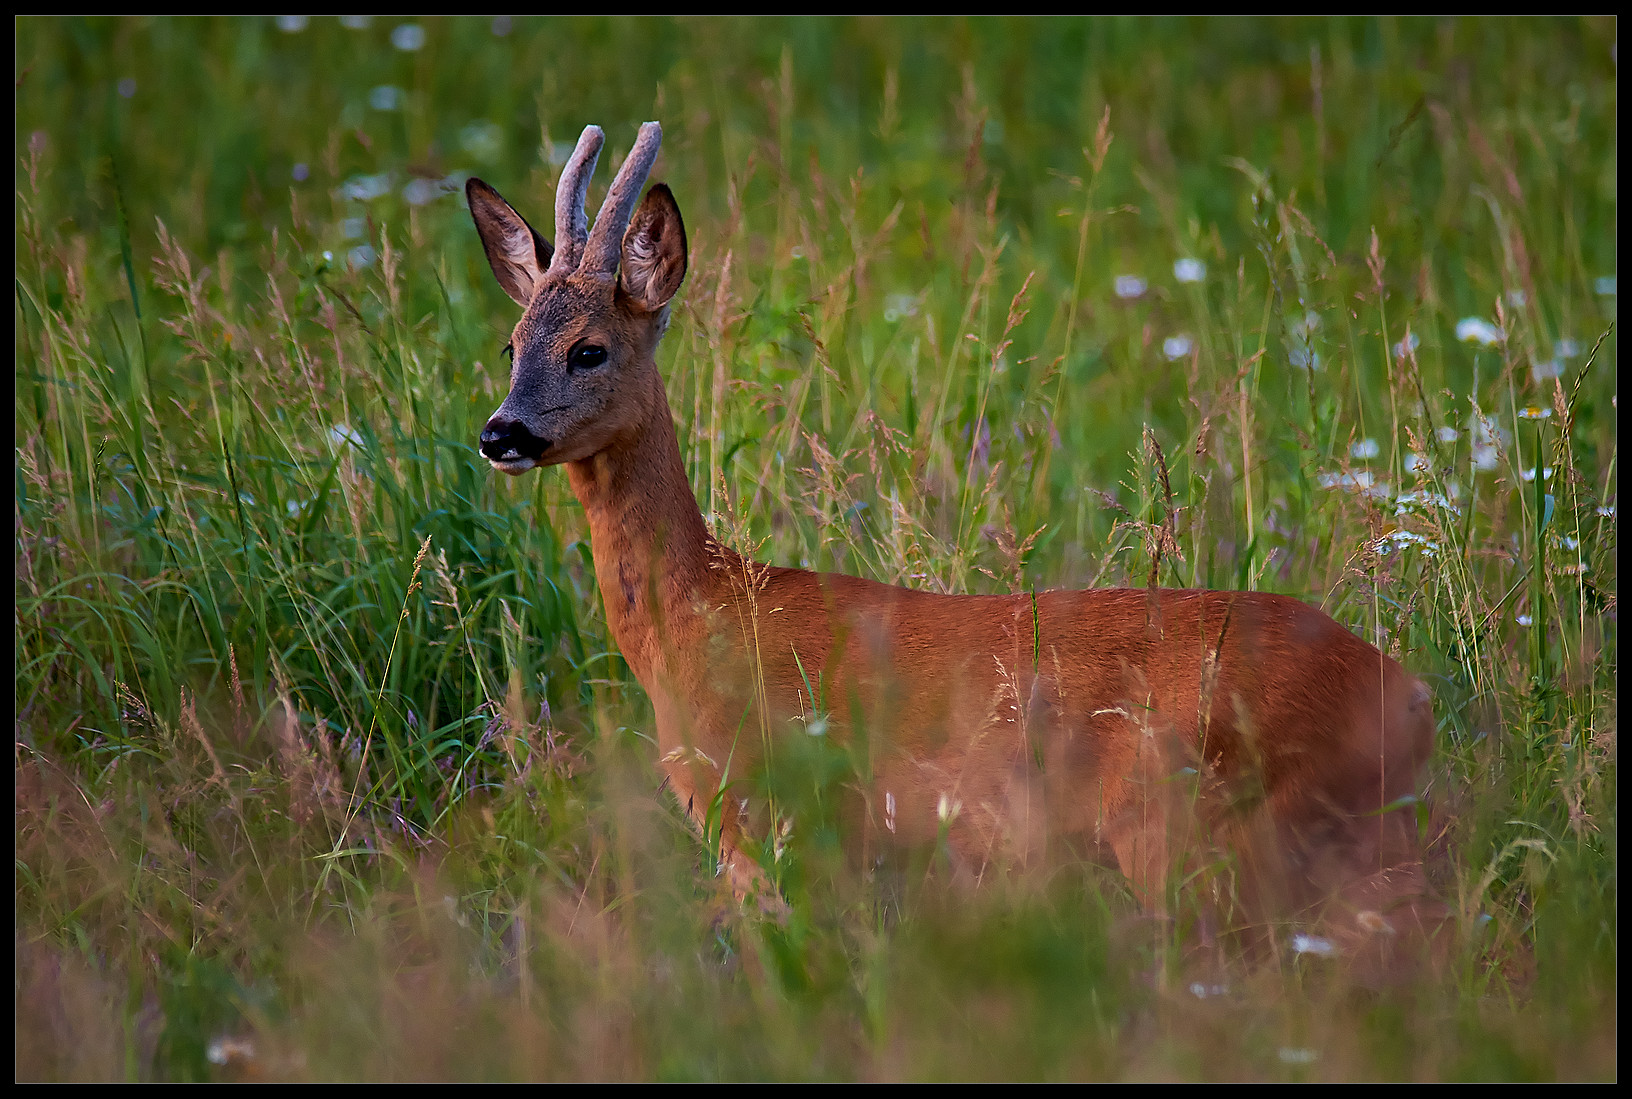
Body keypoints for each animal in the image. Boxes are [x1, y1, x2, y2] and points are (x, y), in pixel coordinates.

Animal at [464, 121, 1438, 948]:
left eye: (589, 349)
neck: (704, 612)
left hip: (1196, 830)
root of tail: (1410, 698)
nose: (500, 433)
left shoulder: (769, 821)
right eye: (512, 344)